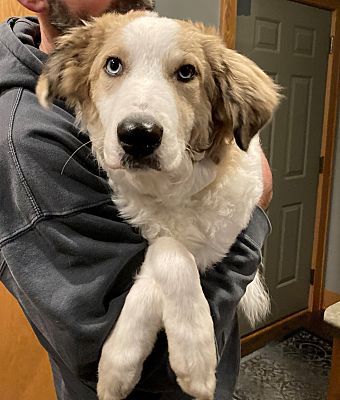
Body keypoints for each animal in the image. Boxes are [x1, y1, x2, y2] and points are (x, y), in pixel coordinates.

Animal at [36, 11, 282, 400]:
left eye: (186, 72)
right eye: (113, 65)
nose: (138, 135)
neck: (170, 189)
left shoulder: (223, 231)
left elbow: (169, 256)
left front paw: (193, 355)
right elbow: (167, 251)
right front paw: (119, 362)